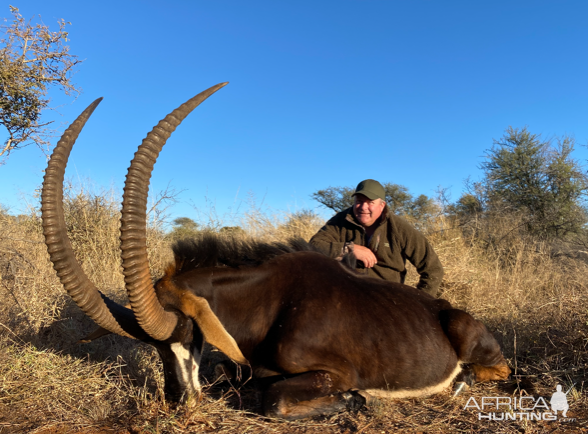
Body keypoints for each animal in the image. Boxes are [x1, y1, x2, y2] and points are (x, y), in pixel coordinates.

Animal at [41, 82, 510, 420]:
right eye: (155, 349)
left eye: (189, 334)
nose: (180, 401)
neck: (270, 301)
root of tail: (446, 309)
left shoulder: (333, 373)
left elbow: (274, 401)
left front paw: (357, 400)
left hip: (474, 342)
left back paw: (463, 380)